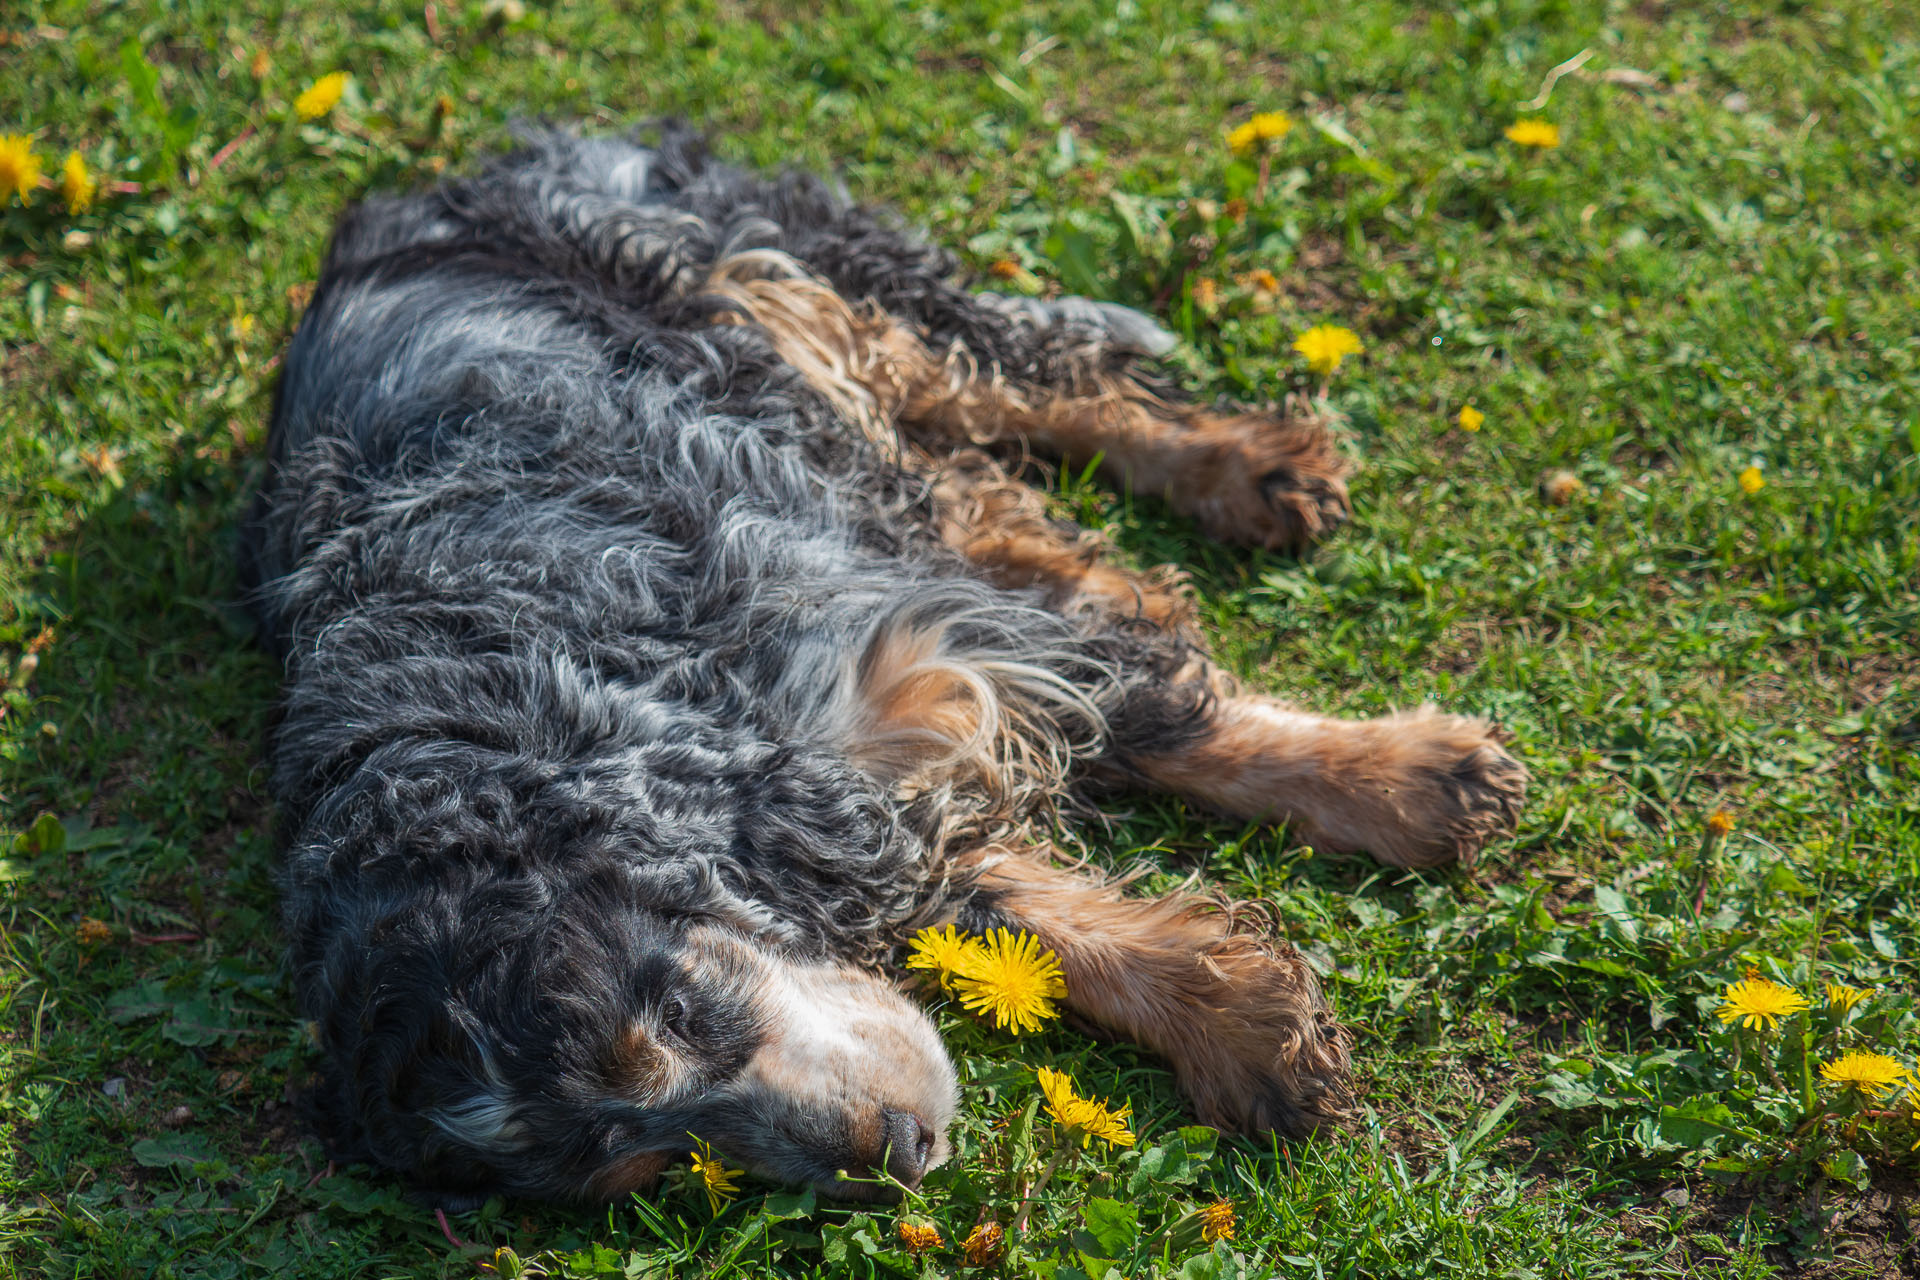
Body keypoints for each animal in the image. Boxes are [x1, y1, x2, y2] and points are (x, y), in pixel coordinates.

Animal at [243, 130, 1528, 1212]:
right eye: (666, 1161)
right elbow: (1019, 910)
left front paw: (1407, 779)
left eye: (681, 1011)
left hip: (754, 272)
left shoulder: (907, 649)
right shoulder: (828, 791)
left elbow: (1162, 718)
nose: (896, 1158)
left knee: (1016, 380)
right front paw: (1233, 1018)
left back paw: (1248, 465)